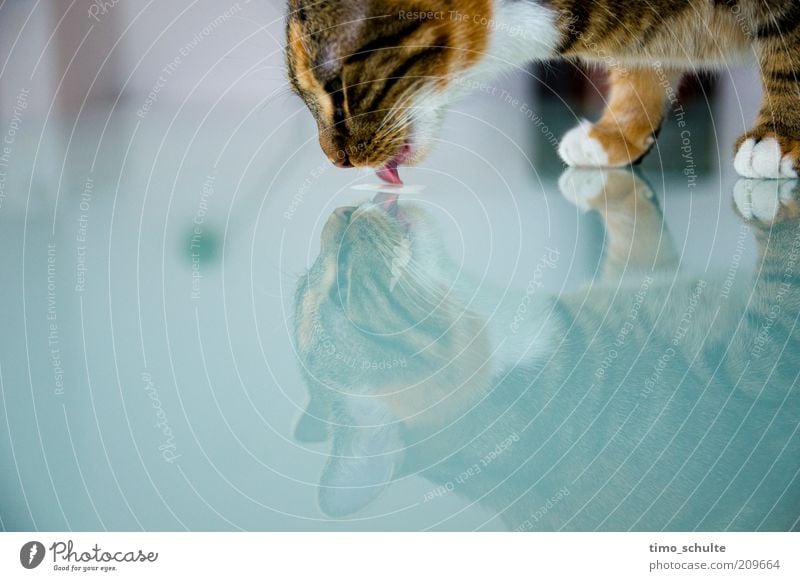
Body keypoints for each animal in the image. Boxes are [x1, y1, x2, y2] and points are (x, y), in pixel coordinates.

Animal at [288, 0, 800, 180]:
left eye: (336, 90)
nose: (334, 161)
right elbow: (641, 66)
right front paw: (616, 135)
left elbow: (787, 55)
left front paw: (777, 137)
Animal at [294, 170, 800, 528]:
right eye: (342, 284)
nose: (338, 212)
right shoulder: (756, 361)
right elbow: (783, 264)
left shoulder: (638, 274)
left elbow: (634, 228)